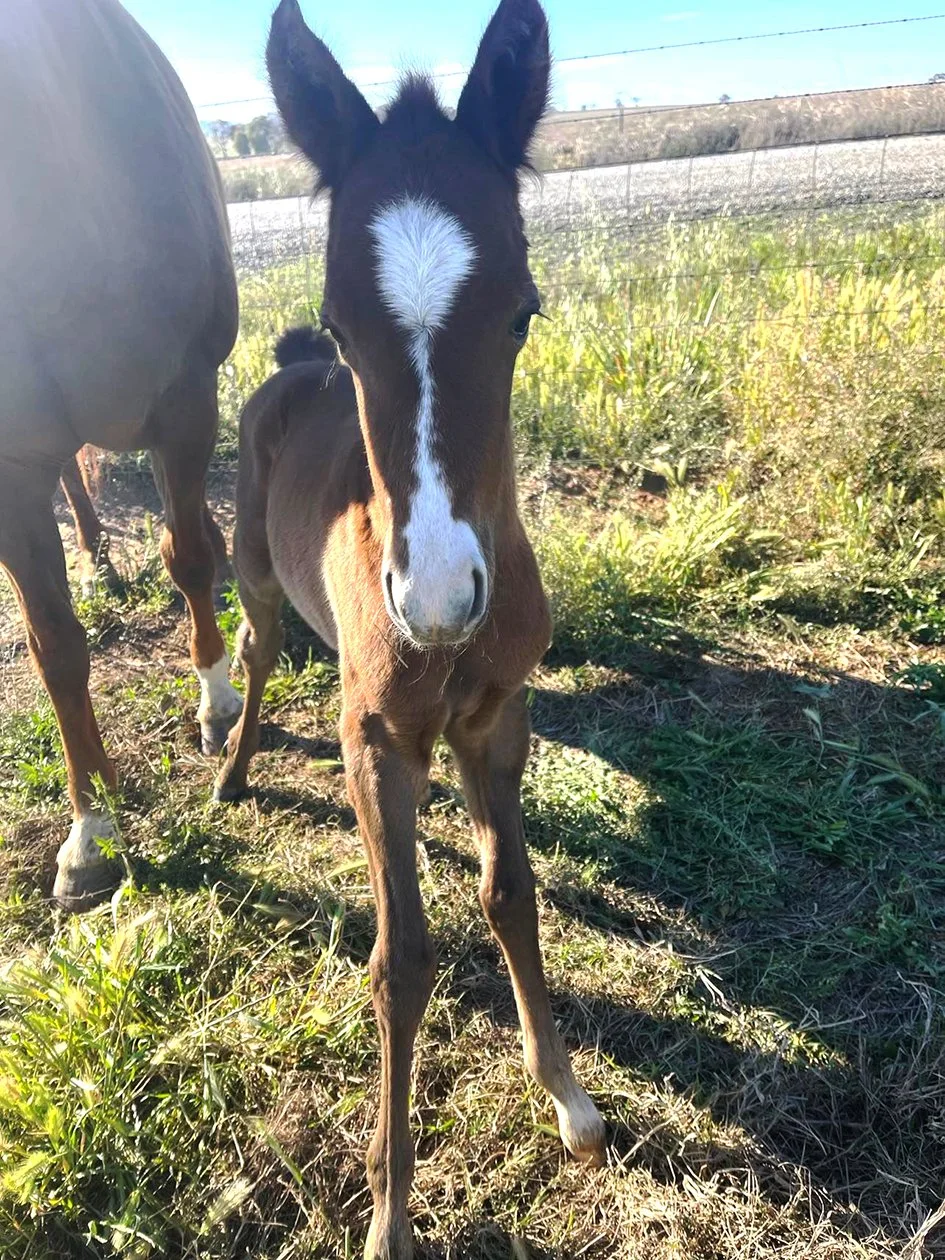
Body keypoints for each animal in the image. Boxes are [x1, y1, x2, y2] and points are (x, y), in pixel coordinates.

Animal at [0, 0, 242, 910]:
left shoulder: (184, 400)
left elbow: (192, 555)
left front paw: (218, 701)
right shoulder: (10, 462)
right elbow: (54, 646)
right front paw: (92, 832)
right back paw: (98, 558)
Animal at [215, 0, 606, 1253]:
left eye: (524, 313)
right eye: (346, 325)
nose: (438, 600)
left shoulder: (497, 716)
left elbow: (510, 893)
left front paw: (566, 1094)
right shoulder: (376, 739)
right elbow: (402, 961)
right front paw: (390, 1216)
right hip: (254, 580)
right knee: (255, 654)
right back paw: (228, 771)